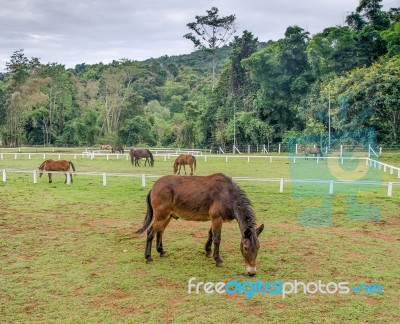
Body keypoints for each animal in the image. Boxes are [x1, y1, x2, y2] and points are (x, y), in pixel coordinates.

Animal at [136, 173, 264, 274]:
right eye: (245, 247)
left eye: (258, 247)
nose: (252, 272)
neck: (227, 194)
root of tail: (154, 187)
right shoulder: (217, 218)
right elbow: (217, 238)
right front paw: (218, 260)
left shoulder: (214, 219)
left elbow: (211, 234)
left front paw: (208, 251)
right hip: (161, 216)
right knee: (150, 232)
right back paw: (148, 257)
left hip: (167, 216)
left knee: (160, 232)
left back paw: (161, 251)